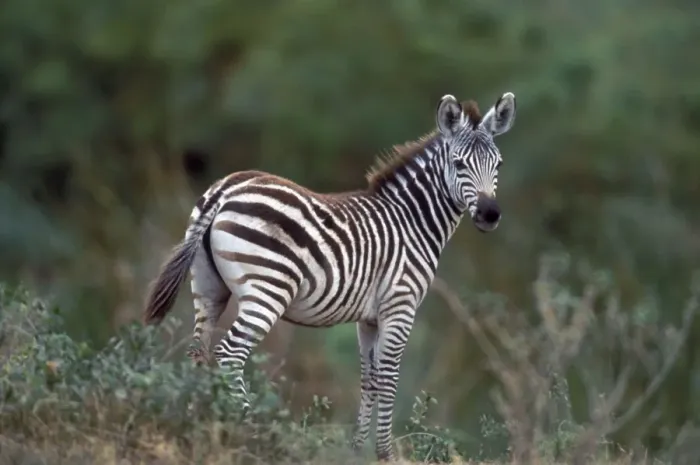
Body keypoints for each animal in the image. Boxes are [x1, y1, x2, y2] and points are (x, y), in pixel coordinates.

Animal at [143, 91, 516, 461]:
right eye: (459, 163)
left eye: (498, 165)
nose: (490, 214)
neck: (412, 221)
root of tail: (226, 189)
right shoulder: (400, 306)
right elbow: (389, 378)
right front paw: (385, 454)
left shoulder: (369, 318)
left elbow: (369, 378)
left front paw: (356, 450)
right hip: (267, 291)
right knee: (229, 355)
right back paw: (251, 434)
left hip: (208, 288)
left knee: (198, 353)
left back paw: (199, 427)